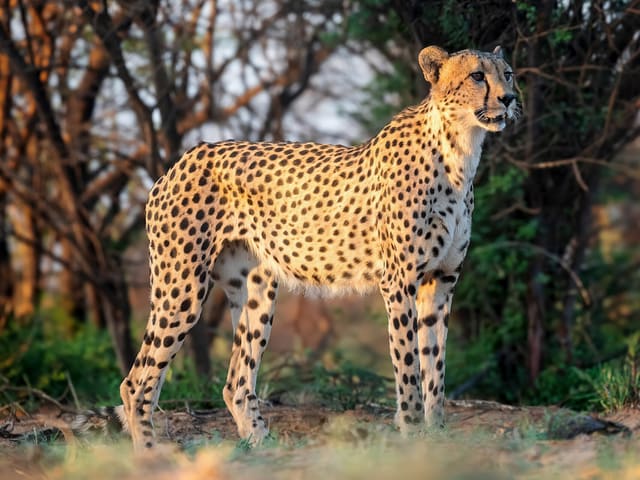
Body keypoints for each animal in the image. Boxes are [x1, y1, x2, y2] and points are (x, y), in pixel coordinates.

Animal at [104, 45, 517, 450]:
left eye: (508, 74)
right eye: (477, 76)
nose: (509, 98)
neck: (459, 149)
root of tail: (185, 158)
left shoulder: (441, 282)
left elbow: (435, 366)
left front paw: (437, 435)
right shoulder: (399, 282)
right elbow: (408, 366)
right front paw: (414, 434)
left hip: (257, 291)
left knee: (235, 383)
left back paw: (263, 447)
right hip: (182, 288)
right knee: (136, 383)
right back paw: (151, 453)